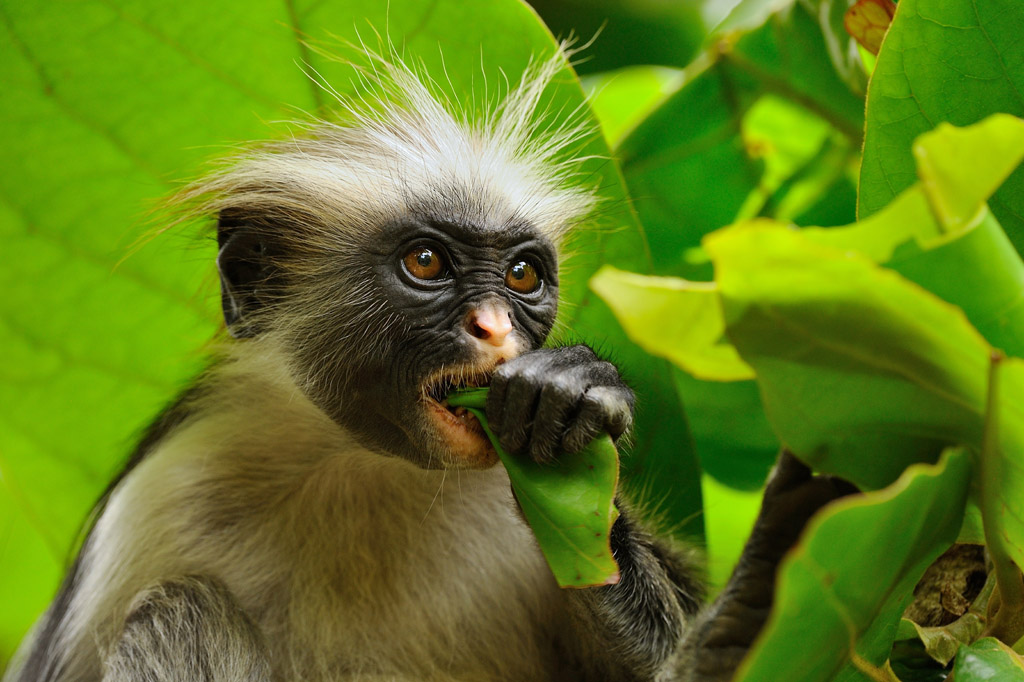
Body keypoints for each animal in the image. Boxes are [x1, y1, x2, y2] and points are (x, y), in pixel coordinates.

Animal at [4, 49, 851, 679]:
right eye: (426, 263)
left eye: (521, 275)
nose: (495, 329)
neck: (363, 464)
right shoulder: (155, 500)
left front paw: (572, 399)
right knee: (179, 611)